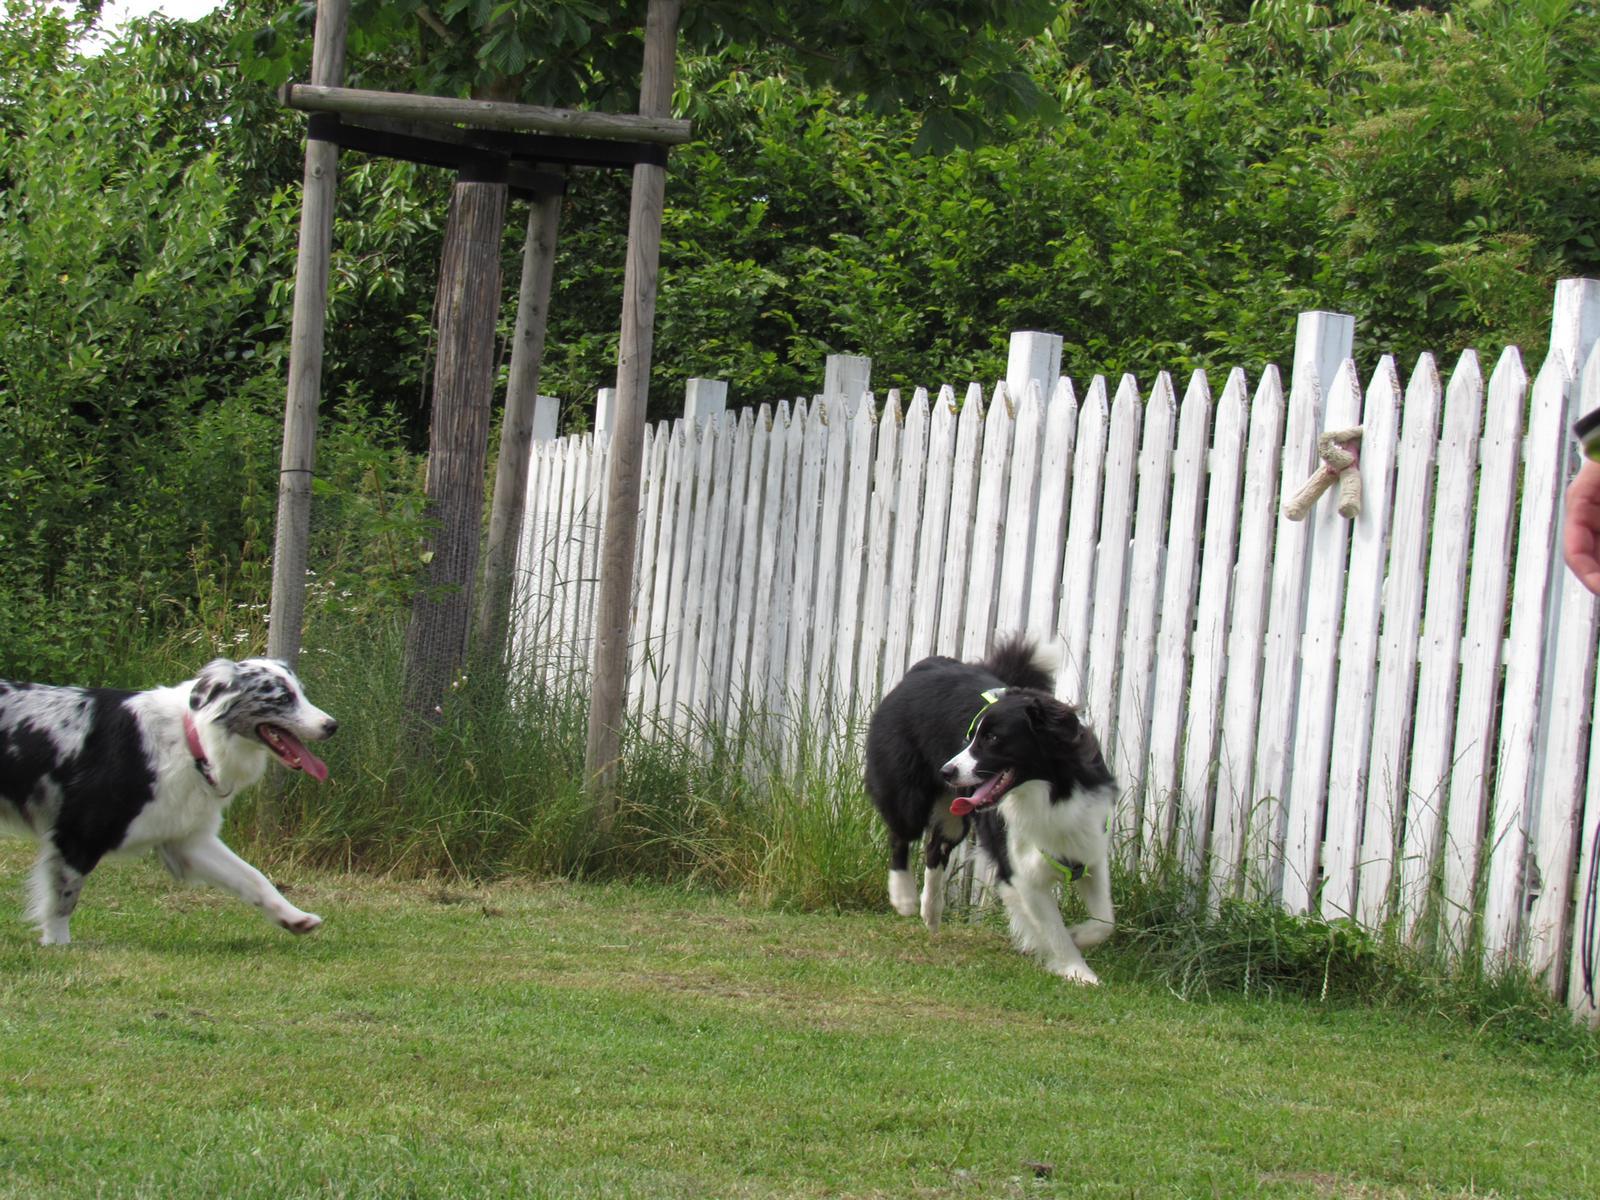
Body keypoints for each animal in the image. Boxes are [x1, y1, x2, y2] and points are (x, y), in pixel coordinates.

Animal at [0, 657, 337, 945]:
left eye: (301, 693)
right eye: (282, 698)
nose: (332, 725)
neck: (191, 741)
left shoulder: (188, 839)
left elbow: (253, 876)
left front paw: (294, 917)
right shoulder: (79, 834)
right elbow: (63, 899)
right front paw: (58, 944)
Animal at [864, 638, 1116, 984]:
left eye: (993, 739)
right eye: (969, 738)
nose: (947, 771)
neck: (1050, 791)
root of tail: (927, 665)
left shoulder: (1087, 847)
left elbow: (1105, 921)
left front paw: (1079, 936)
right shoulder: (1019, 870)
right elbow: (1053, 930)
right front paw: (1077, 971)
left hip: (955, 816)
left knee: (934, 848)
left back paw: (931, 912)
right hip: (907, 794)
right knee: (901, 835)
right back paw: (903, 898)